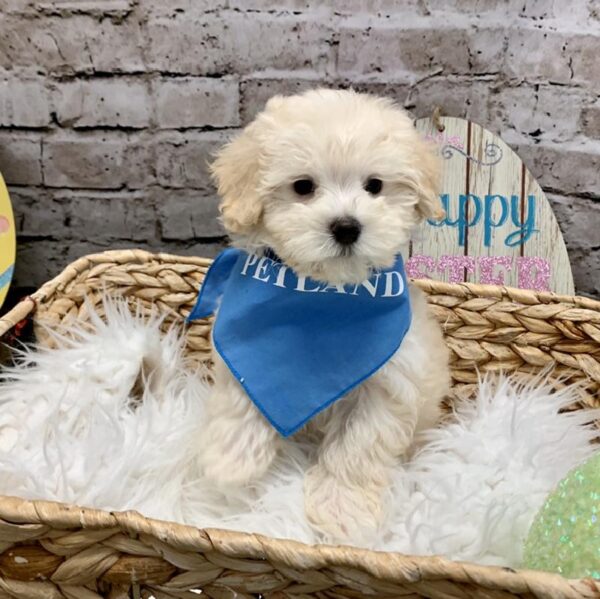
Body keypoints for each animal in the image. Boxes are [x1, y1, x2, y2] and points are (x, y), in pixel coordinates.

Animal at [198, 88, 450, 544]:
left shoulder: (388, 383)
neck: (324, 291)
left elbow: (357, 448)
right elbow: (241, 398)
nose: (347, 227)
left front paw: (342, 513)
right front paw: (229, 462)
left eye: (374, 186)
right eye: (303, 186)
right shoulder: (240, 349)